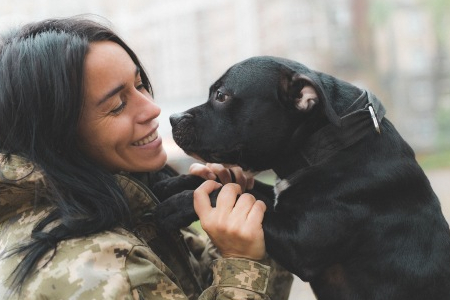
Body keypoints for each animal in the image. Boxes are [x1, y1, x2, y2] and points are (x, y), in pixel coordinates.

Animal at [154, 56, 450, 300]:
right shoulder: (281, 200)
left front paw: (178, 204)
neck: (332, 144)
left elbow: (234, 195)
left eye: (221, 95)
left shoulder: (300, 245)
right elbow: (236, 185)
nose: (173, 118)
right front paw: (174, 184)